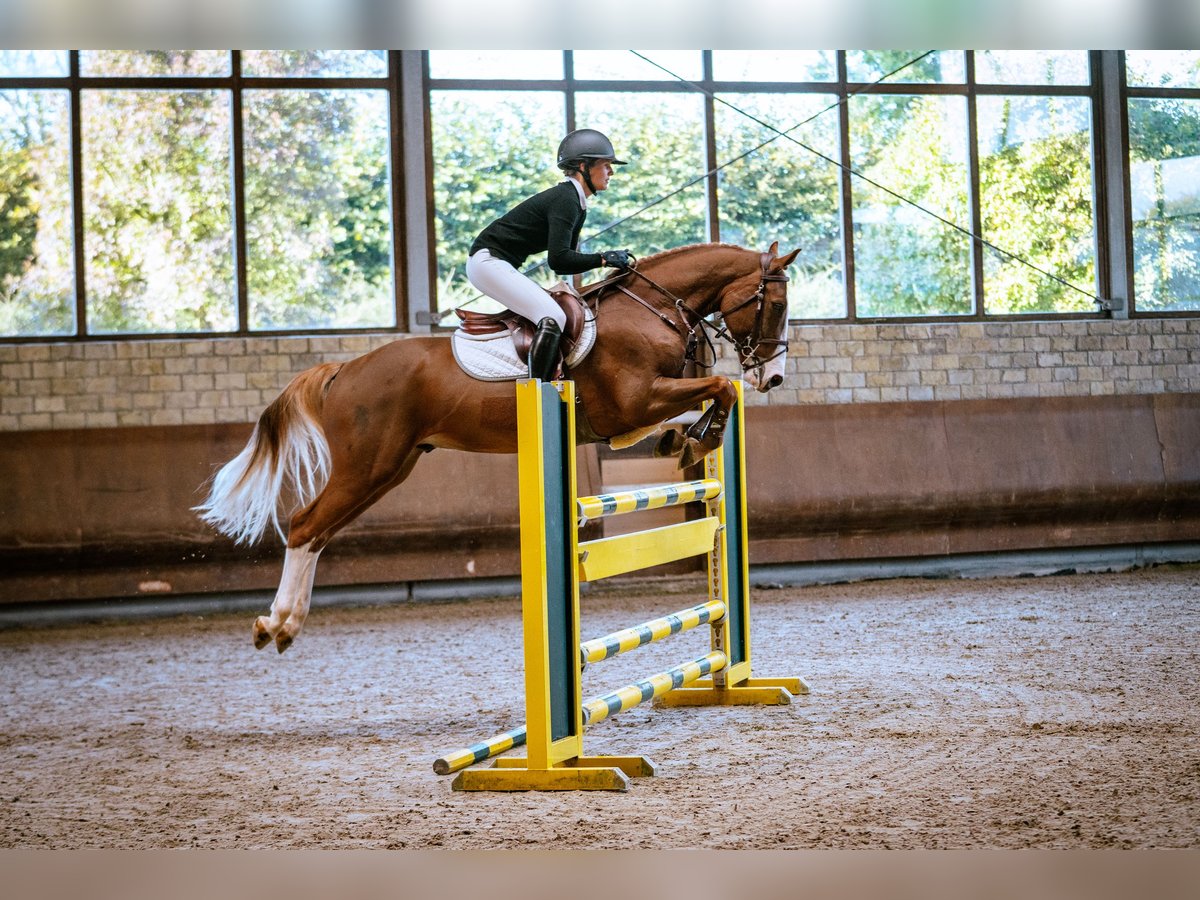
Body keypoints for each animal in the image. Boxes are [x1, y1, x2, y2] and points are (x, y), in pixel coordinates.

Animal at [194, 243, 796, 652]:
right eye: (775, 304)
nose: (772, 378)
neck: (650, 309)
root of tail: (344, 369)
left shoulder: (630, 415)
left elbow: (702, 401)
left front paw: (685, 439)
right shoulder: (631, 403)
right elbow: (719, 388)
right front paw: (704, 438)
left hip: (388, 470)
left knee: (317, 533)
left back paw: (286, 625)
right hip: (367, 466)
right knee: (302, 525)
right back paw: (275, 624)